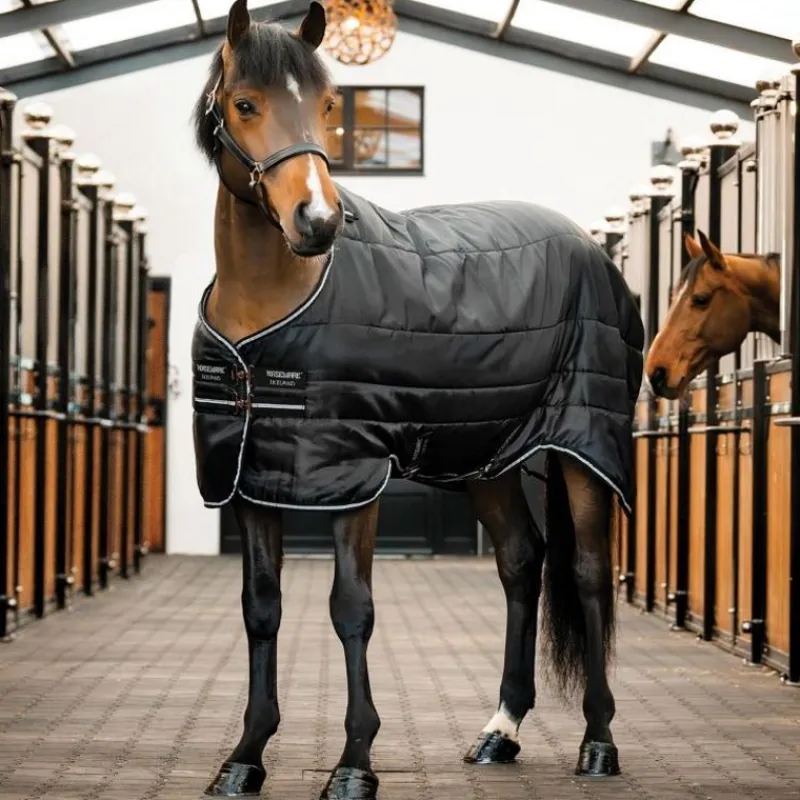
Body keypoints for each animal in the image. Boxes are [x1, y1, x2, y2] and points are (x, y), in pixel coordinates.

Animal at [189, 2, 644, 797]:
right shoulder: (250, 479)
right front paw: (245, 756)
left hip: (583, 448)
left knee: (588, 573)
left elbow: (351, 609)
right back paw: (500, 731)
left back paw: (597, 743)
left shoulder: (354, 477)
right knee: (521, 561)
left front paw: (354, 765)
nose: (316, 221)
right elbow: (261, 609)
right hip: (488, 457)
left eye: (329, 105)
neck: (269, 309)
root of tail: (589, 246)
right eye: (245, 104)